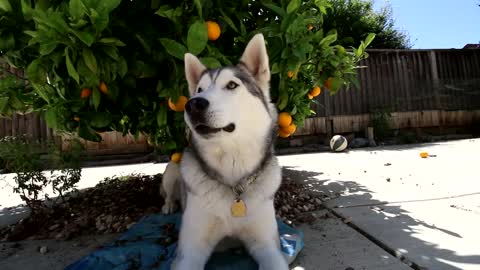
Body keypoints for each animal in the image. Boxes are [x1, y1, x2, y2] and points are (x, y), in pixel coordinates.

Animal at [161, 33, 288, 270]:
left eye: (231, 85)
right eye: (199, 90)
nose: (193, 105)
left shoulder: (268, 245)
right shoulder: (190, 250)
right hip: (172, 170)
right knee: (169, 192)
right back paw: (169, 205)